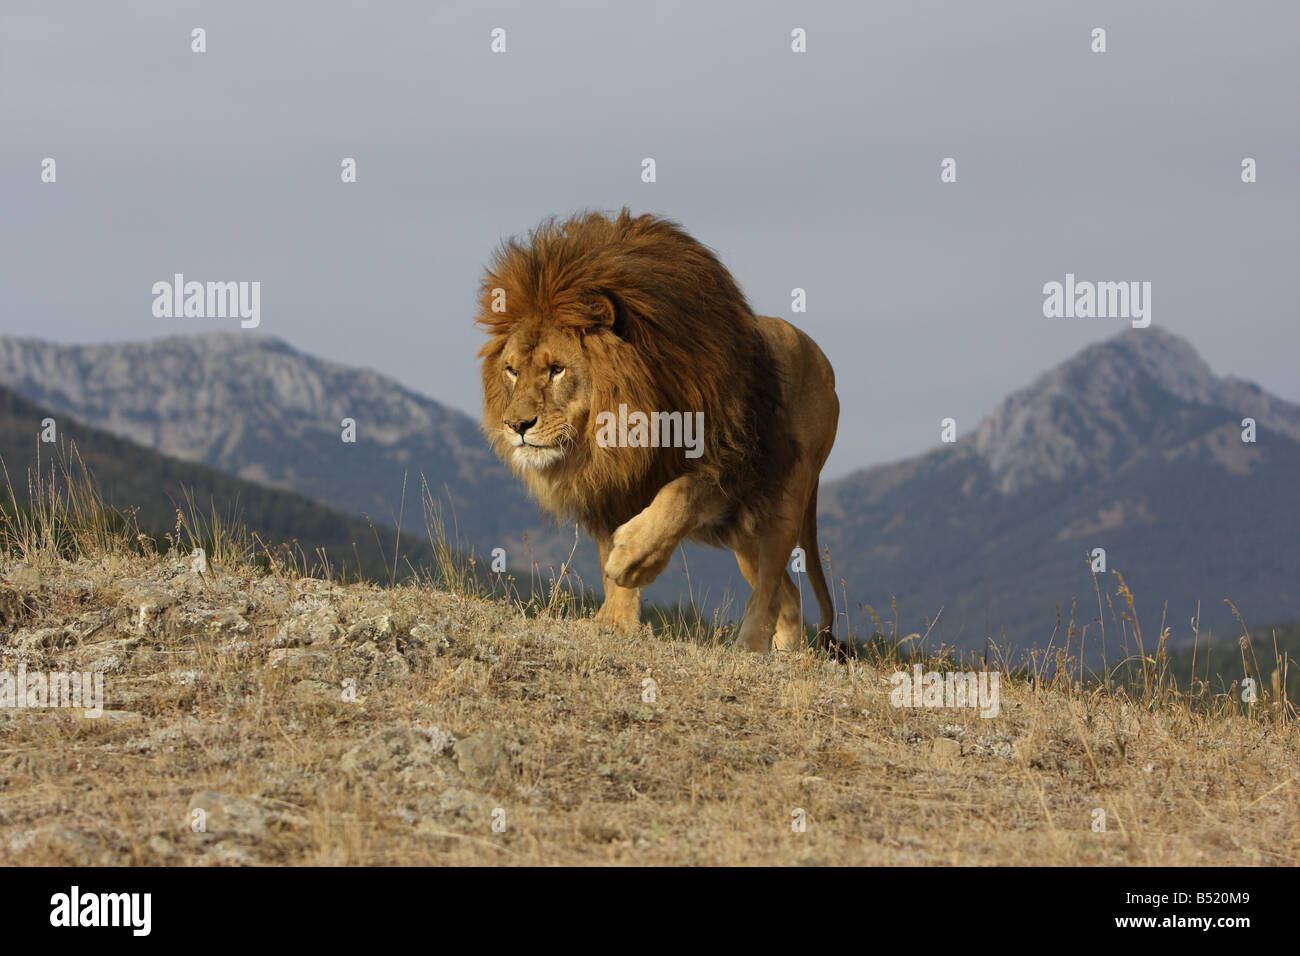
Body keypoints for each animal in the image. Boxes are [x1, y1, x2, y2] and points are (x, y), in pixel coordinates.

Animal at [476, 209, 840, 654]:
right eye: (511, 370)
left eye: (556, 369)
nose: (516, 426)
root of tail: (827, 367)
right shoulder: (612, 485)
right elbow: (608, 558)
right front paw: (615, 622)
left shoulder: (728, 466)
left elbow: (676, 498)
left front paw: (632, 561)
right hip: (744, 538)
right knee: (787, 595)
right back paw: (786, 654)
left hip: (784, 501)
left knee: (770, 585)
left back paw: (750, 647)